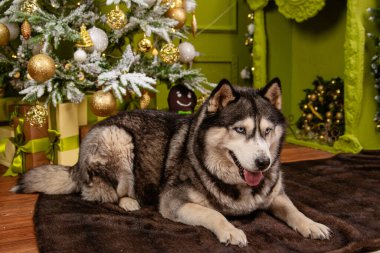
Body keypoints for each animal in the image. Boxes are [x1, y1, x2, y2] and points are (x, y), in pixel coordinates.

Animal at [13, 78, 332, 245]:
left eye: (267, 131)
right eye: (240, 130)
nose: (263, 162)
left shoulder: (274, 195)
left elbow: (293, 210)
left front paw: (312, 224)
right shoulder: (173, 201)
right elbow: (214, 214)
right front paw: (230, 230)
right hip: (119, 139)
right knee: (106, 192)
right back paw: (129, 202)